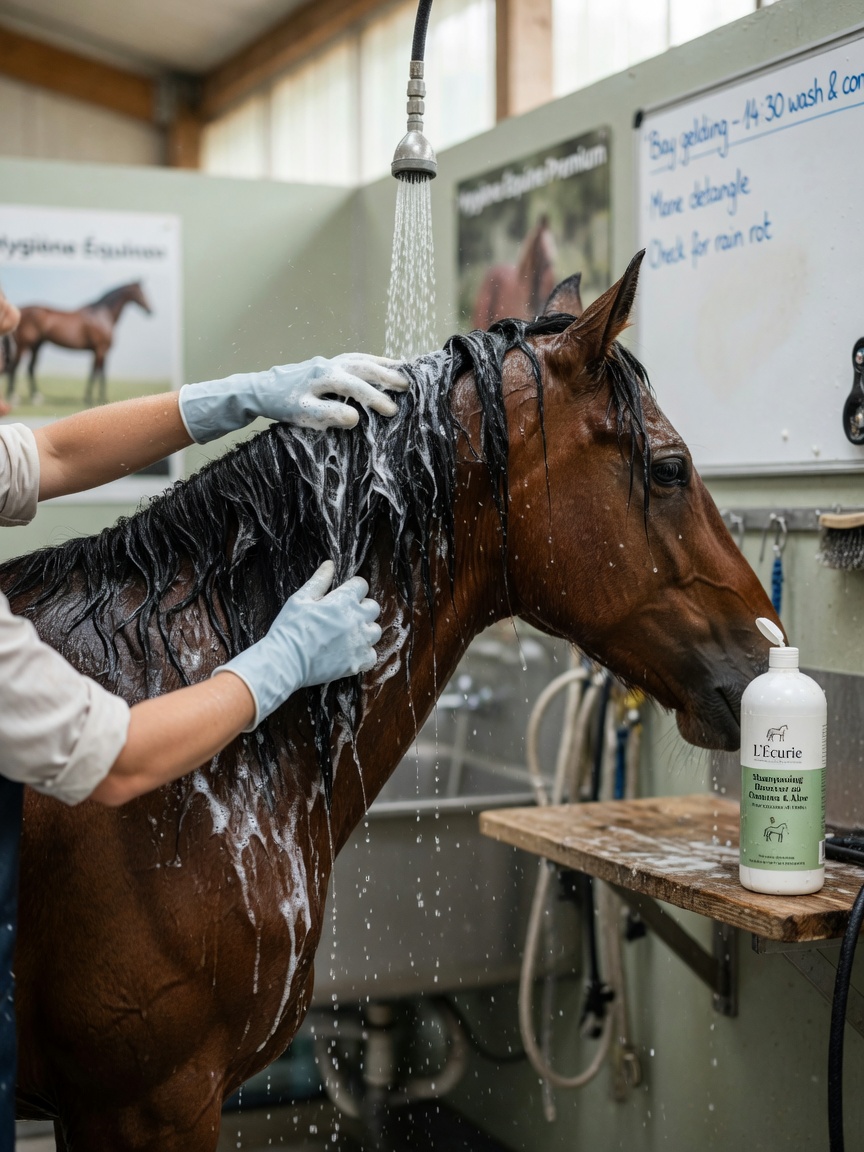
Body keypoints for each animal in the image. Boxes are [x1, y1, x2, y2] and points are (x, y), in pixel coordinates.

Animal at [4, 281, 152, 407]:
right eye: (141, 293)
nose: (150, 310)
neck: (101, 316)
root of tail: (19, 311)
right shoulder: (100, 350)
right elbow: (95, 374)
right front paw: (90, 399)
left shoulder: (101, 352)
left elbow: (100, 374)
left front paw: (102, 399)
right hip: (23, 346)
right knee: (14, 368)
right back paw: (13, 397)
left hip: (37, 346)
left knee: (30, 368)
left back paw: (36, 398)